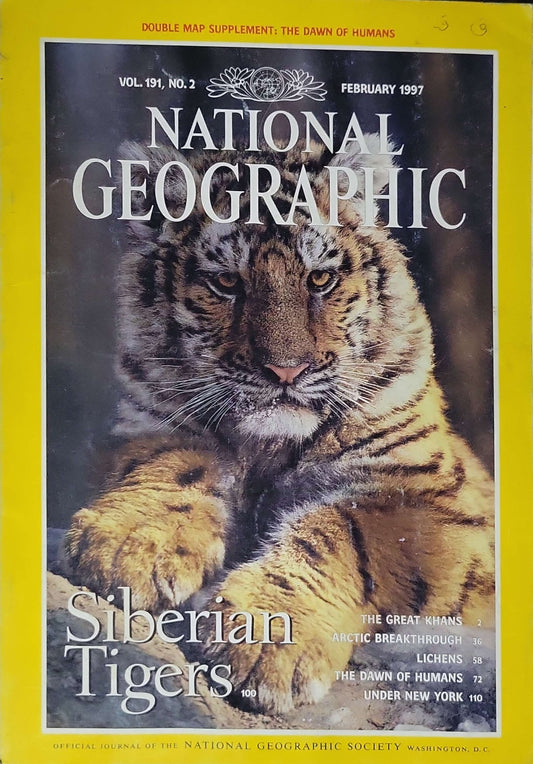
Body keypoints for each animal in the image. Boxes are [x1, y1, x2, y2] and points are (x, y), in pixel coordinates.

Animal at [62, 137, 495, 715]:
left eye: (319, 278)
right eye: (227, 282)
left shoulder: (425, 495)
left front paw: (267, 638)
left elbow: (342, 529)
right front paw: (125, 546)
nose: (286, 370)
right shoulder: (155, 421)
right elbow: (173, 467)